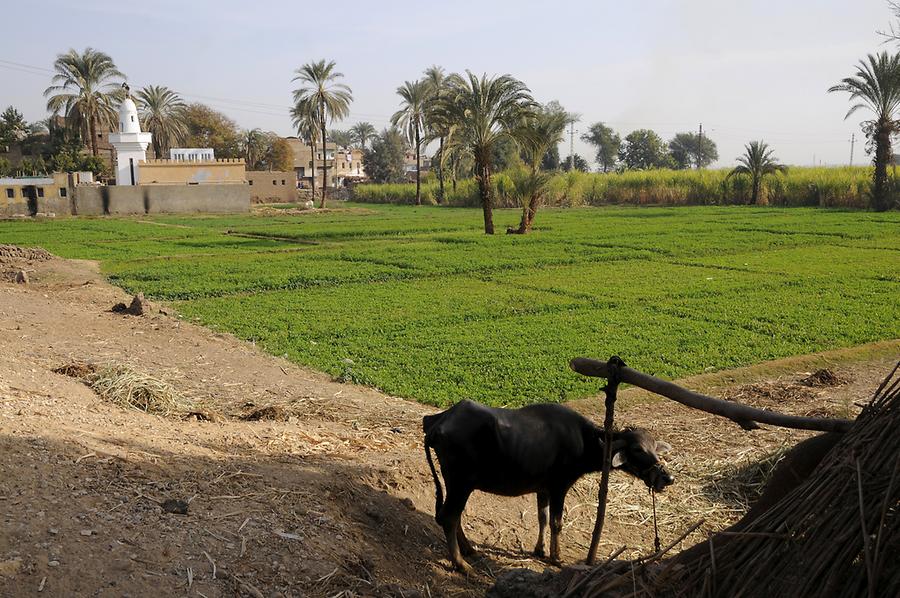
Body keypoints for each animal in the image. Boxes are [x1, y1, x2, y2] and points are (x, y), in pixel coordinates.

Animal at [426, 400, 672, 576]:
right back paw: (461, 564)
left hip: (455, 484)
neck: (583, 440)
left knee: (453, 516)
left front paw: (540, 549)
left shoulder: (542, 489)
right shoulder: (559, 487)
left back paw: (469, 550)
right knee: (449, 517)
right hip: (461, 483)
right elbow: (556, 522)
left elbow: (542, 518)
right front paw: (556, 557)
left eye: (654, 448)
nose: (667, 477)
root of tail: (438, 424)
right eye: (638, 449)